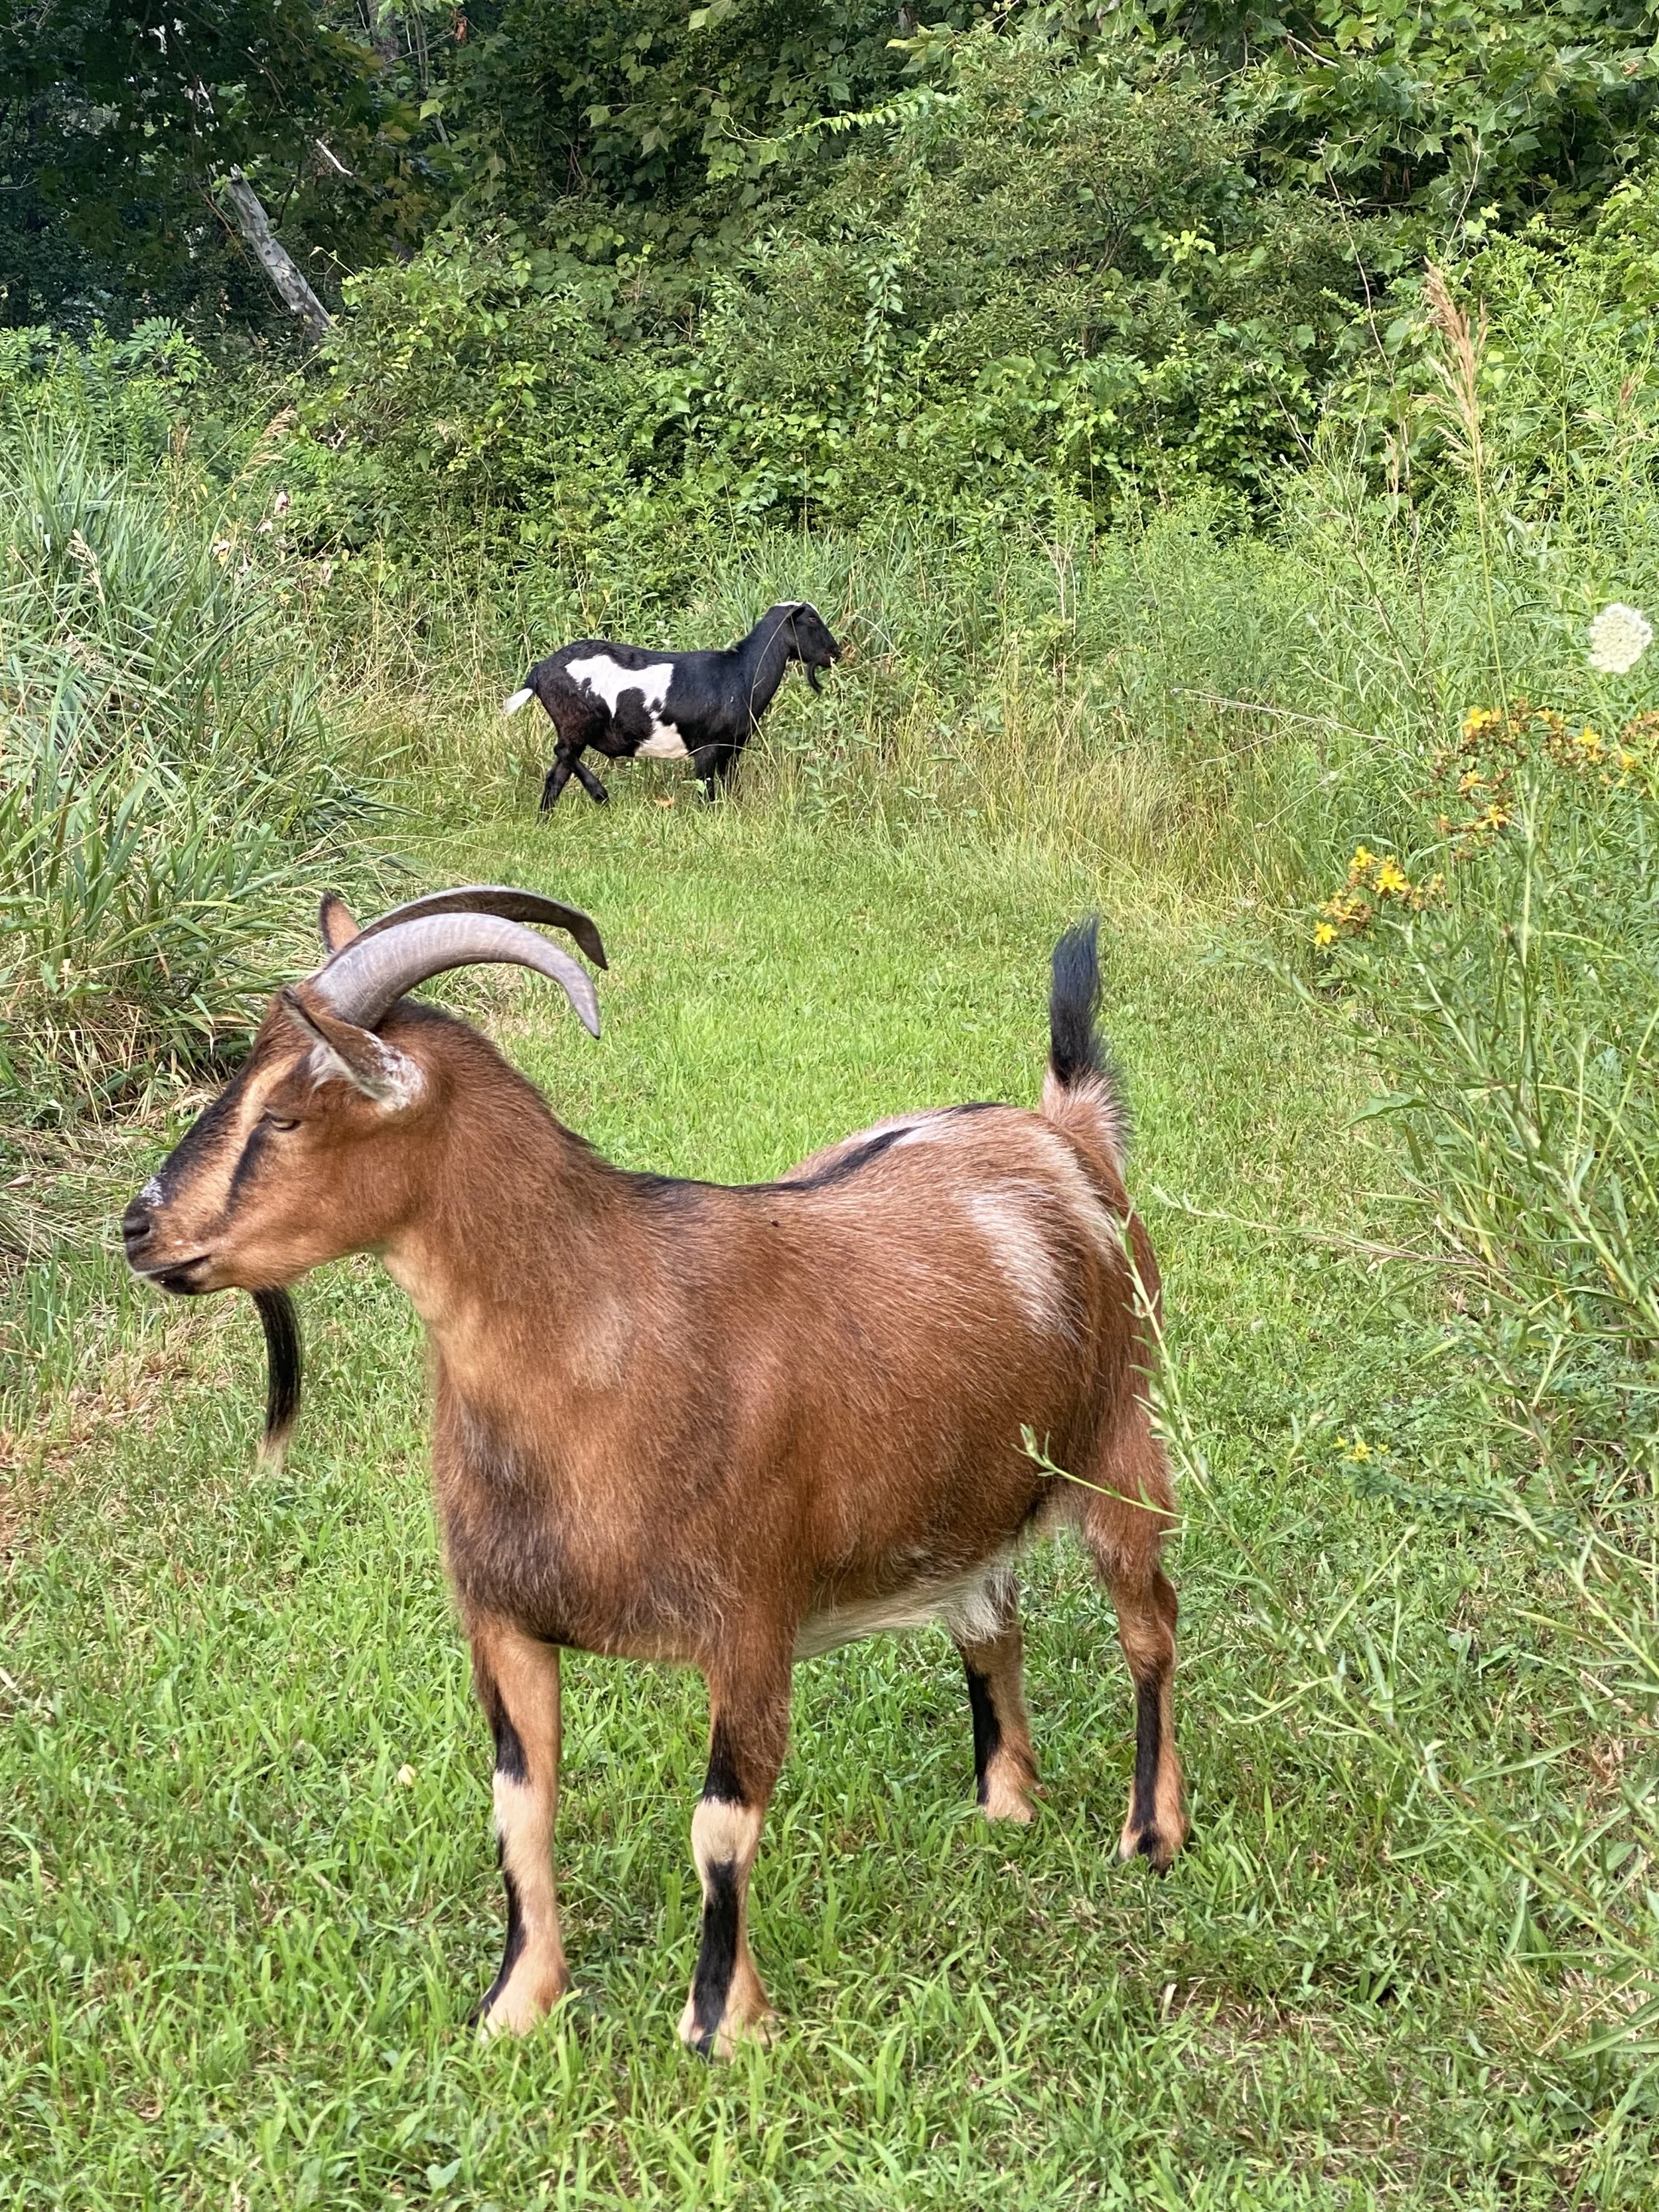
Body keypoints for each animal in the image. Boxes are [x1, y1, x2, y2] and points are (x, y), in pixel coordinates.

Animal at [122, 886, 1186, 2057]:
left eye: (285, 1117)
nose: (137, 1228)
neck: (606, 1340)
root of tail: (1065, 1133)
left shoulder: (751, 1620)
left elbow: (720, 1824)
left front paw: (721, 2022)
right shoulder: (502, 1618)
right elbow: (519, 1809)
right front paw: (515, 2007)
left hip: (1123, 1439)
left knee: (1151, 1627)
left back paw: (1151, 1832)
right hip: (967, 1502)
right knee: (992, 1625)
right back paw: (1005, 1804)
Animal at [502, 601, 842, 808]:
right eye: (812, 619)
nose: (836, 652)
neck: (740, 673)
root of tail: (539, 672)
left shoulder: (733, 746)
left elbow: (729, 786)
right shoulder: (707, 745)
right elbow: (708, 790)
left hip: (572, 727)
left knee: (557, 775)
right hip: (576, 720)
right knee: (563, 752)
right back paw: (600, 794)